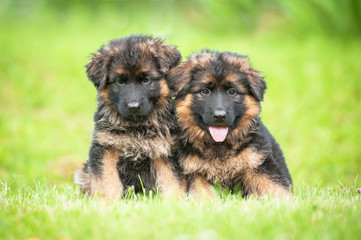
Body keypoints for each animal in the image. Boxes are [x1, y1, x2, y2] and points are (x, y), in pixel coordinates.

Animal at [73, 35, 186, 201]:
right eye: (120, 81)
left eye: (146, 80)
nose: (133, 106)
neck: (136, 126)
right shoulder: (105, 148)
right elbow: (107, 181)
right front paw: (107, 202)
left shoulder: (166, 151)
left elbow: (172, 181)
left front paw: (176, 202)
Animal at [169, 50, 292, 201]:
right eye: (205, 91)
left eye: (232, 91)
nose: (219, 116)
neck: (220, 147)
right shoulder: (196, 172)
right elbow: (203, 195)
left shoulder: (258, 164)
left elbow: (275, 188)